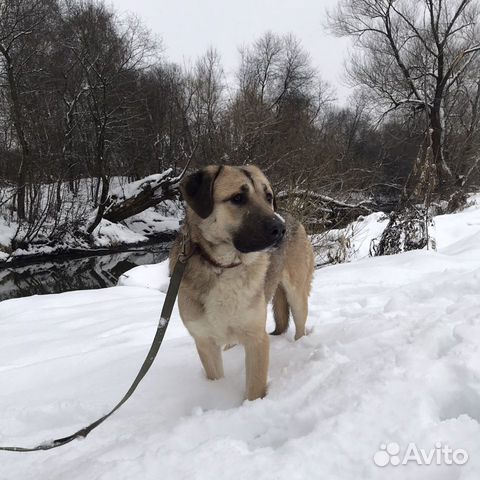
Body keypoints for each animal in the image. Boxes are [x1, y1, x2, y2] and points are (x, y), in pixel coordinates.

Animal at [169, 166, 316, 402]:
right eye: (238, 198)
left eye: (268, 197)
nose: (280, 229)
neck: (224, 267)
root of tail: (290, 215)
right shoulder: (205, 343)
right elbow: (216, 377)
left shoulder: (257, 339)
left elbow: (255, 389)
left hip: (297, 294)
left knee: (300, 324)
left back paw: (299, 344)